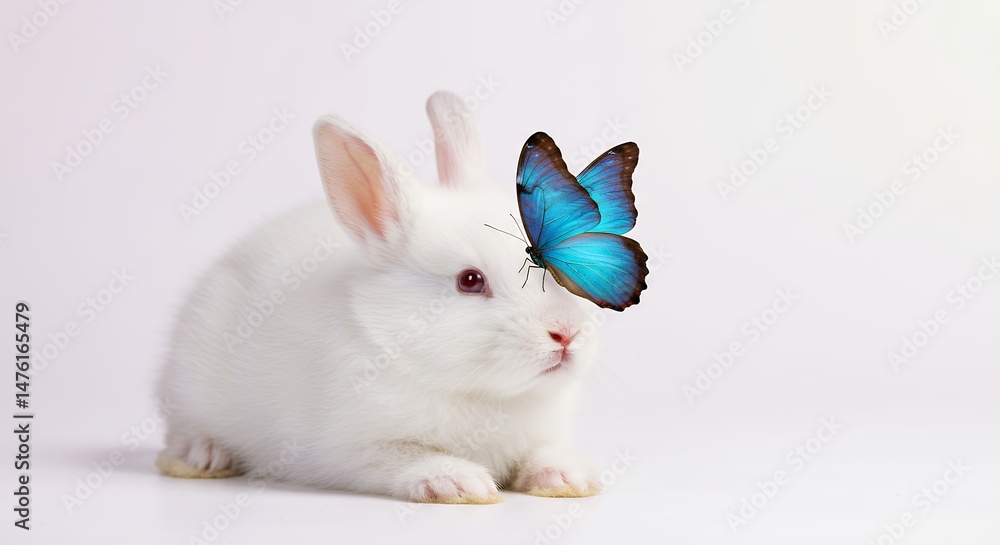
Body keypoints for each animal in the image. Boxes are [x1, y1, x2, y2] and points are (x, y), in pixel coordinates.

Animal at [156, 91, 605, 504]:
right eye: (470, 280)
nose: (566, 333)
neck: (484, 395)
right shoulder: (349, 450)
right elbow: (403, 458)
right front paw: (460, 483)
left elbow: (542, 453)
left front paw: (566, 476)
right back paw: (204, 456)